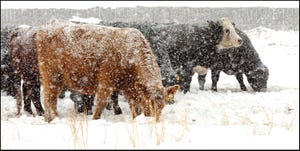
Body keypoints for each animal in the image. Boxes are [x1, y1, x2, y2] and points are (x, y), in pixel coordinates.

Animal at [36, 19, 179, 122]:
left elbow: (135, 107)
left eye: (163, 105)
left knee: (50, 99)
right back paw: (52, 118)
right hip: (51, 76)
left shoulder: (131, 88)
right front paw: (95, 119)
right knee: (49, 98)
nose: (154, 121)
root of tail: (51, 23)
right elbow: (101, 103)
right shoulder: (106, 82)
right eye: (148, 102)